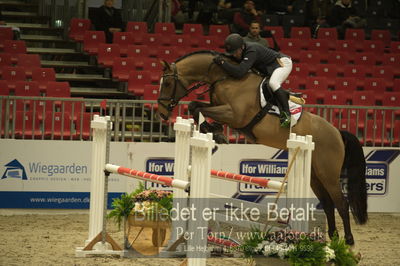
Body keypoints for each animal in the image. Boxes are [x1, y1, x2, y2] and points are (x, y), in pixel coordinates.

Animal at [157, 50, 368, 245]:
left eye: (167, 84)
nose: (161, 113)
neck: (225, 77)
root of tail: (337, 132)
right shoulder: (220, 108)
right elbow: (195, 106)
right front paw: (213, 130)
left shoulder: (234, 115)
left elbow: (198, 107)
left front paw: (215, 131)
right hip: (315, 175)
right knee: (327, 203)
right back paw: (333, 238)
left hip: (328, 174)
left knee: (341, 203)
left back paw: (348, 241)